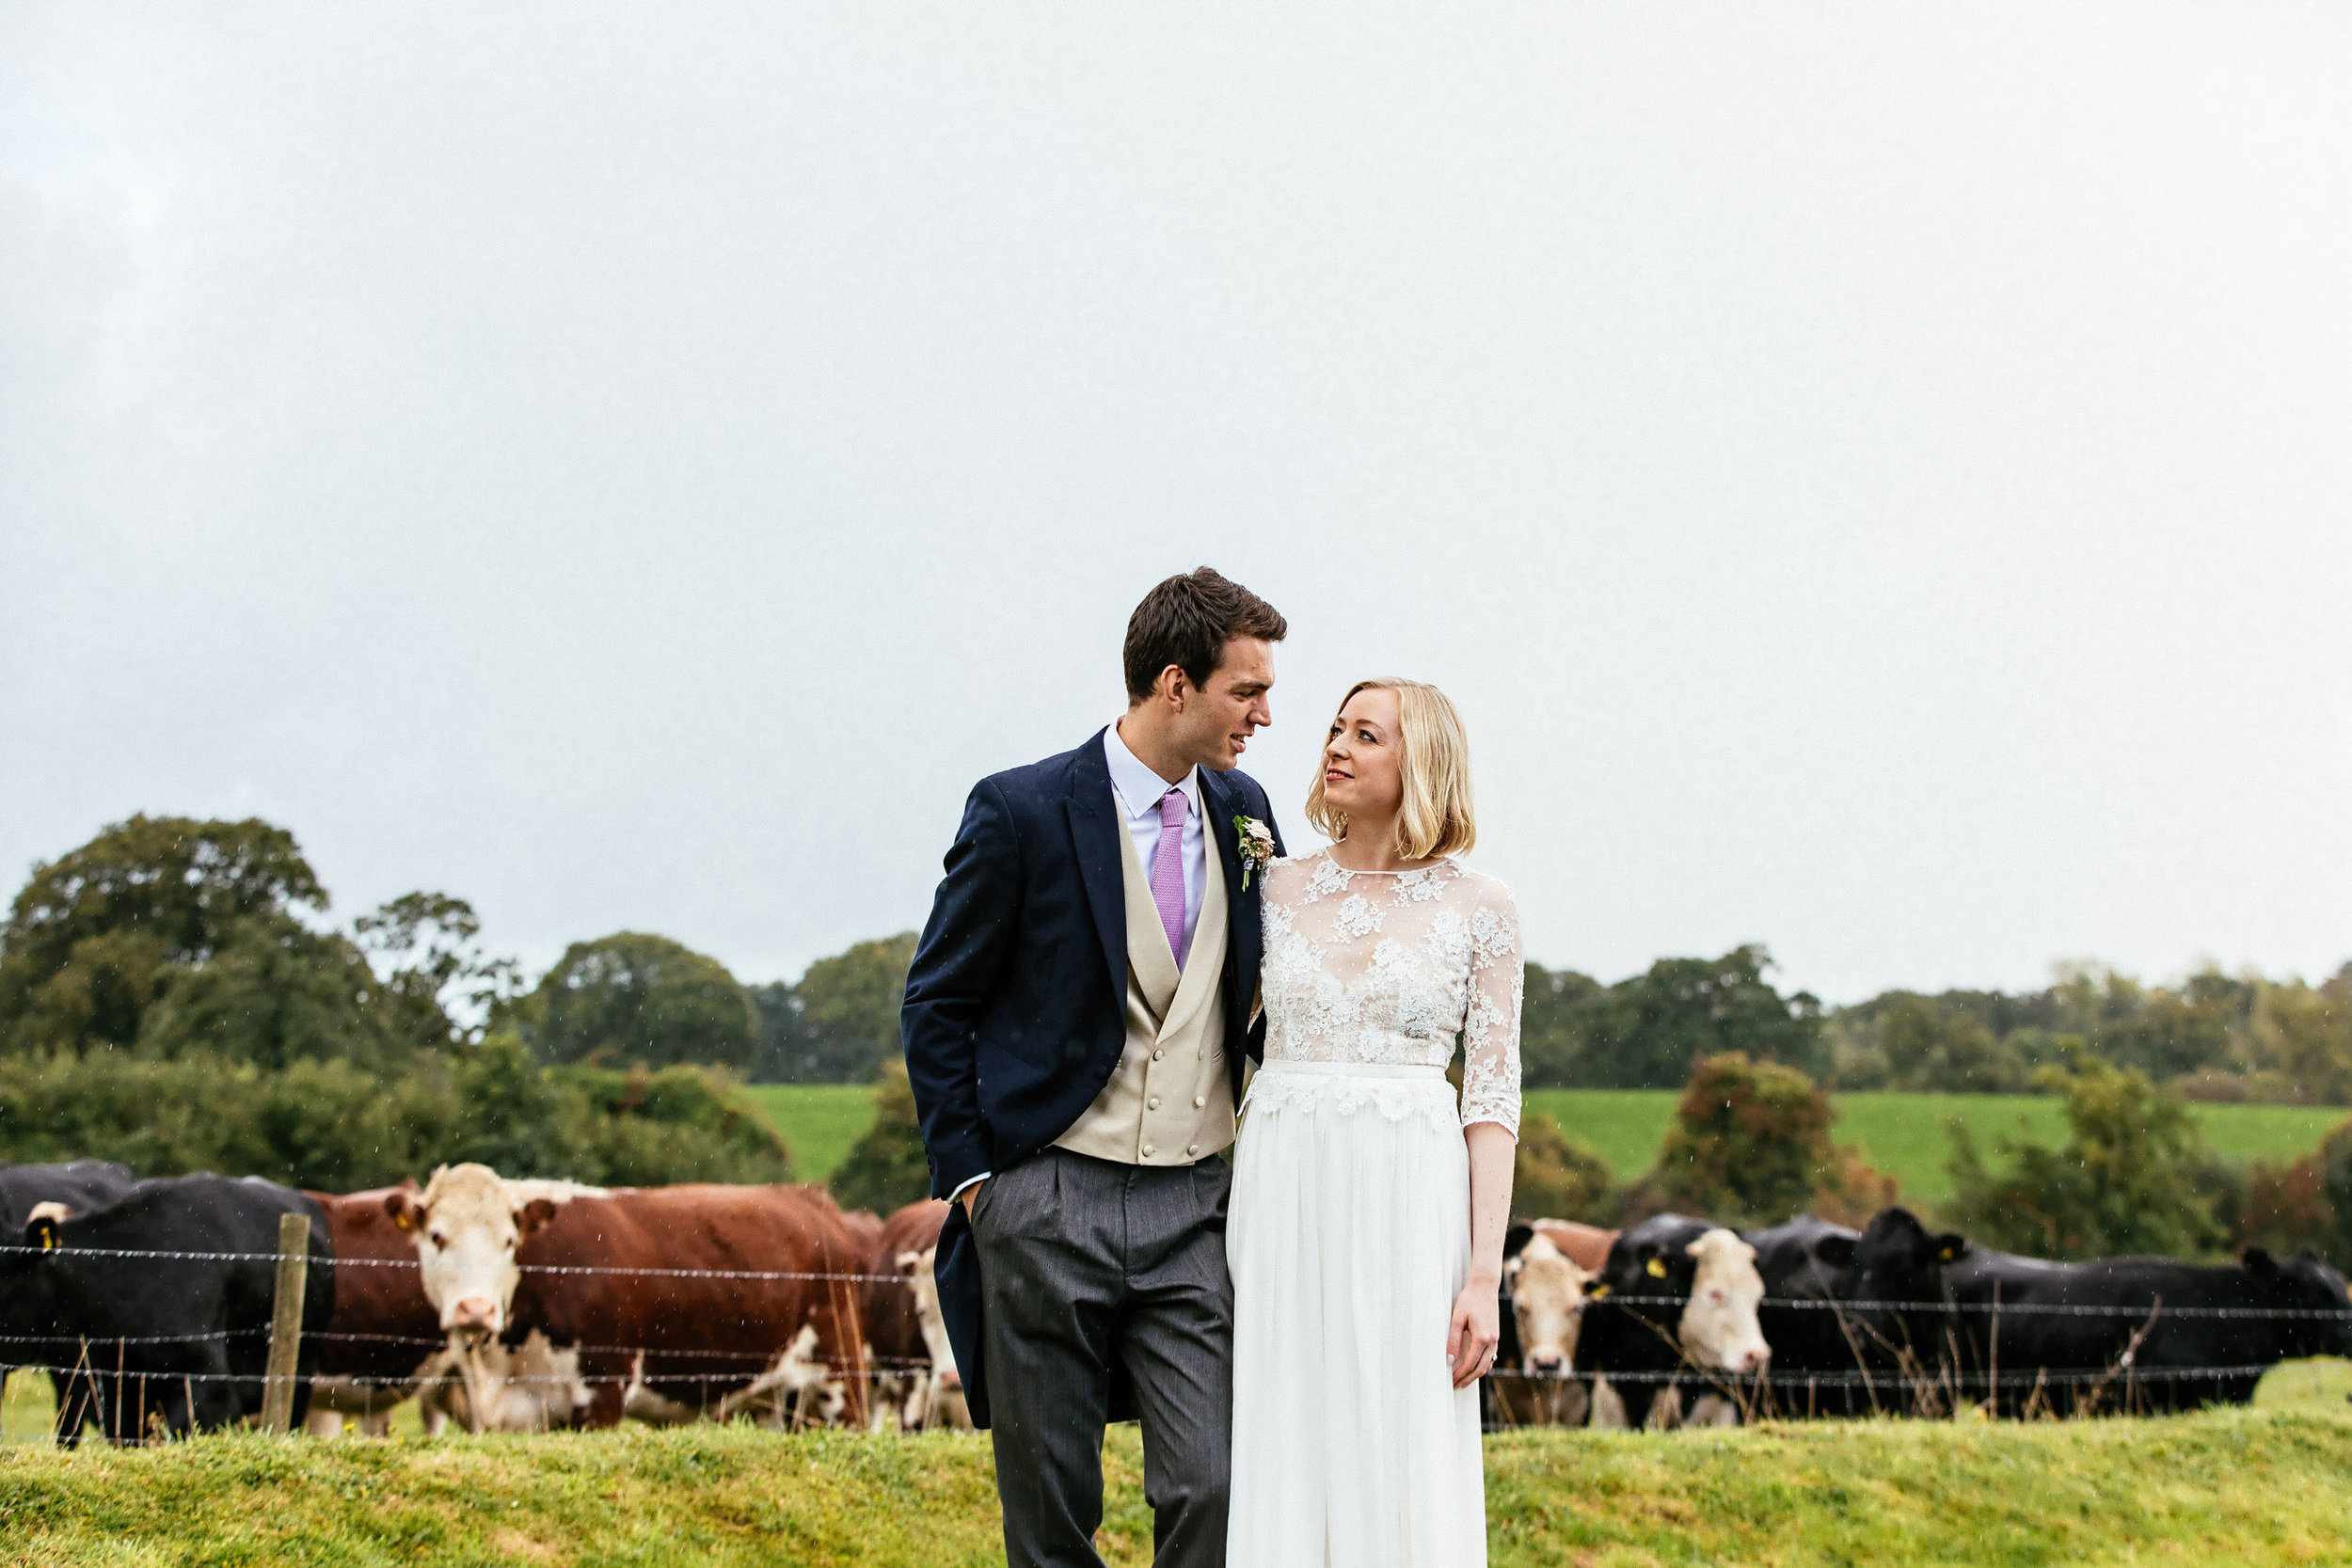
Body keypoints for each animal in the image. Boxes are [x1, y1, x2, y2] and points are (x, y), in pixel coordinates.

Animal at [395, 1165, 875, 1438]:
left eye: (509, 1241)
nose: (476, 1310)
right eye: (436, 1237)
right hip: (774, 1402)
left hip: (839, 1382)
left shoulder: (601, 1393)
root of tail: (807, 1196)